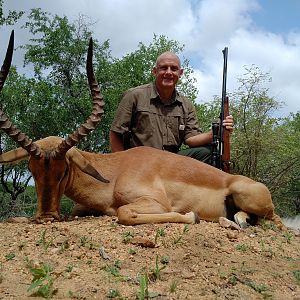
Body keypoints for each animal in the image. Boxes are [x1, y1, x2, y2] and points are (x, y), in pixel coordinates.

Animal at [0, 31, 286, 230]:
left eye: (63, 171)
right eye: (32, 170)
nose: (46, 217)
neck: (116, 171)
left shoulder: (155, 203)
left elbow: (125, 213)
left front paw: (191, 215)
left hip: (252, 199)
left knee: (276, 221)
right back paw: (234, 220)